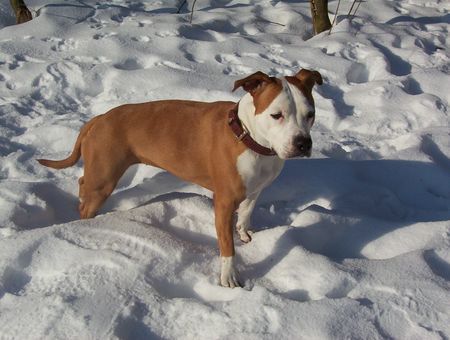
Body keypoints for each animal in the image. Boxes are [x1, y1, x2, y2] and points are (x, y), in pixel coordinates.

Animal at [37, 69, 320, 286]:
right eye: (276, 115)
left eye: (310, 114)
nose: (302, 143)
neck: (249, 137)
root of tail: (99, 118)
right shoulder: (224, 202)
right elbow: (227, 246)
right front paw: (229, 277)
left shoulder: (256, 188)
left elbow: (247, 211)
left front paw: (244, 231)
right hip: (103, 178)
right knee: (88, 199)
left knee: (82, 184)